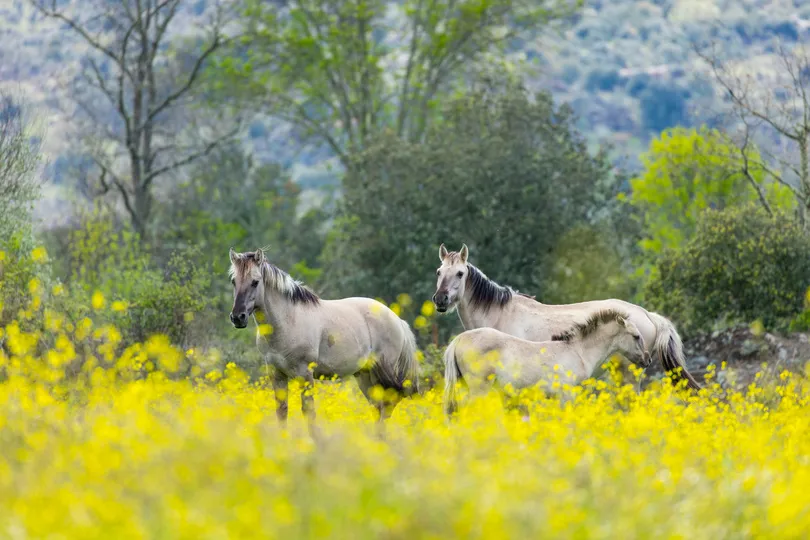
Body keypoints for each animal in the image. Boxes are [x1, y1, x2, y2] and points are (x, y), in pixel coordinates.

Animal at [228, 248, 420, 429]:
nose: (238, 317)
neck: (288, 320)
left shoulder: (305, 374)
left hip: (383, 373)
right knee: (378, 407)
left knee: (389, 404)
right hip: (365, 375)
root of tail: (398, 320)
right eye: (233, 281)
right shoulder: (276, 374)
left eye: (255, 282)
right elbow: (282, 412)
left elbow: (309, 412)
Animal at [432, 244, 701, 391]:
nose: (440, 299)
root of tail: (648, 315)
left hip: (628, 374)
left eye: (460, 273)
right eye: (439, 271)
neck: (500, 314)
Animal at [443, 309, 651, 416]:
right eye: (636, 336)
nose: (647, 359)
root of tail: (458, 340)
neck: (578, 351)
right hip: (479, 389)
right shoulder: (568, 395)